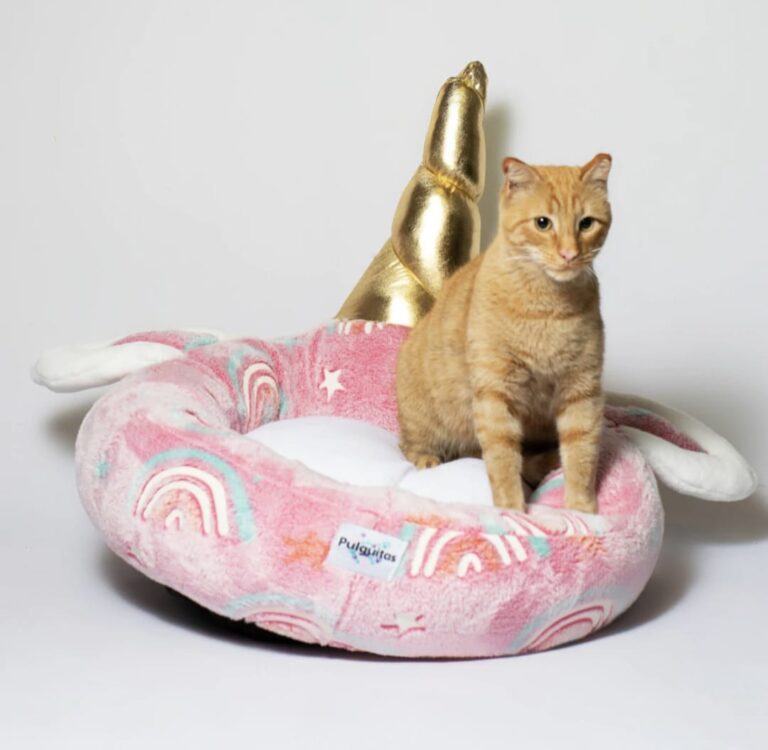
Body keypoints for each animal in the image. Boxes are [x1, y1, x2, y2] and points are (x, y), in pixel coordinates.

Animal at [396, 154, 612, 513]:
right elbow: (502, 460)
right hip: (423, 416)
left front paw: (583, 510)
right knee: (409, 445)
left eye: (586, 224)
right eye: (543, 223)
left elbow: (582, 455)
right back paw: (426, 458)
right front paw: (511, 510)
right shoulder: (496, 393)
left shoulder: (582, 390)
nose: (569, 254)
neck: (548, 309)